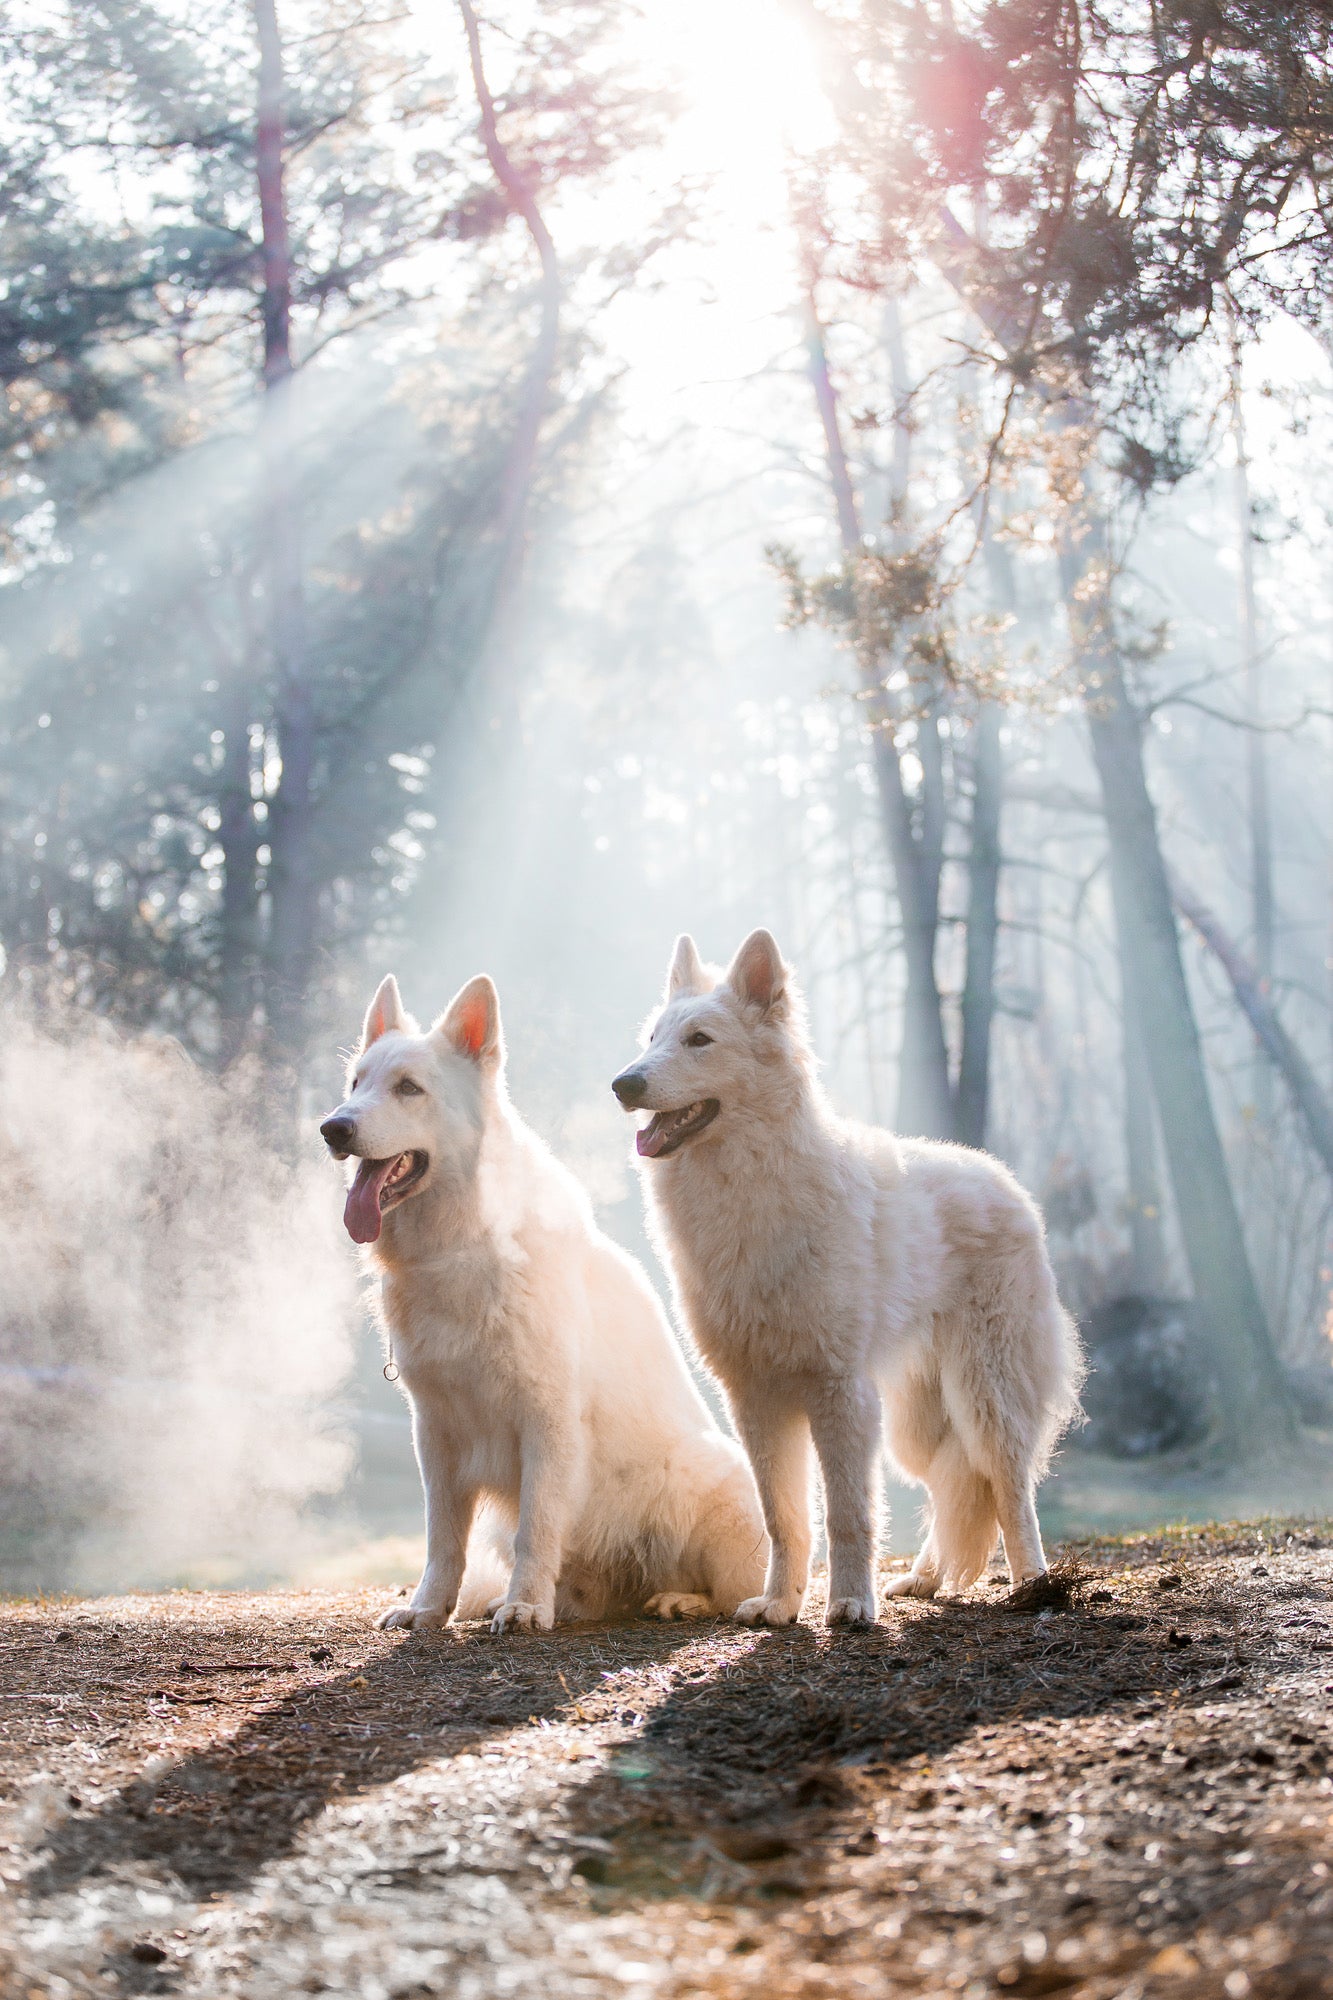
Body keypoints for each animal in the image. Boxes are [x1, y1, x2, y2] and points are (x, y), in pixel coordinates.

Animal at [316, 972, 764, 1640]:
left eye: (408, 1088)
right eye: (355, 1084)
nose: (333, 1129)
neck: (463, 1243)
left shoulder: (546, 1425)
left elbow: (537, 1528)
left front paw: (526, 1606)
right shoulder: (436, 1435)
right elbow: (442, 1542)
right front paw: (429, 1609)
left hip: (716, 1474)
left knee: (726, 1591)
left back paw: (679, 1600)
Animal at [612, 932, 1080, 1624]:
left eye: (700, 1040)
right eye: (652, 1038)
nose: (623, 1084)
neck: (752, 1190)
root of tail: (1004, 1179)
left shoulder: (838, 1391)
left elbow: (847, 1513)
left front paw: (852, 1604)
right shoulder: (756, 1398)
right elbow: (783, 1517)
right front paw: (779, 1605)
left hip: (985, 1397)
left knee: (1008, 1487)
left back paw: (1032, 1583)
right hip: (917, 1423)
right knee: (951, 1487)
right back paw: (923, 1579)